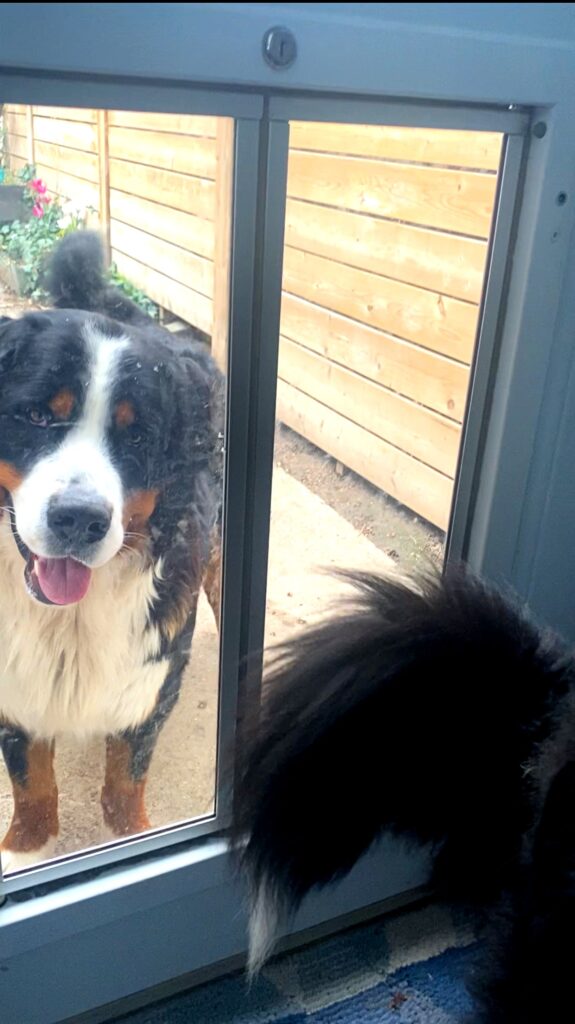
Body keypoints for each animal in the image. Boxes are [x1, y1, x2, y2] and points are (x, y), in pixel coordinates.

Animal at [0, 234, 223, 872]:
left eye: (137, 437)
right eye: (37, 414)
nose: (79, 518)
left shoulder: (149, 682)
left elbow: (125, 783)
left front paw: (135, 838)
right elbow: (32, 781)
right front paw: (26, 848)